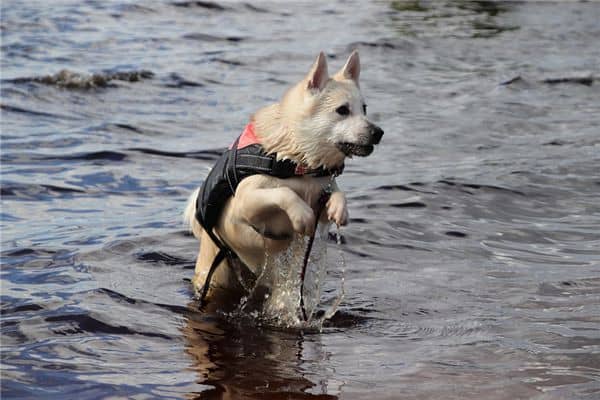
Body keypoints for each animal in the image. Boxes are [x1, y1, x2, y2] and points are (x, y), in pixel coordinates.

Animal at [182, 51, 384, 308]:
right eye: (342, 110)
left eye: (364, 109)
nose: (378, 132)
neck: (297, 161)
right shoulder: (244, 203)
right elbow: (283, 192)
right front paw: (301, 215)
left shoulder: (321, 193)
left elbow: (337, 193)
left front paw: (340, 208)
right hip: (217, 276)